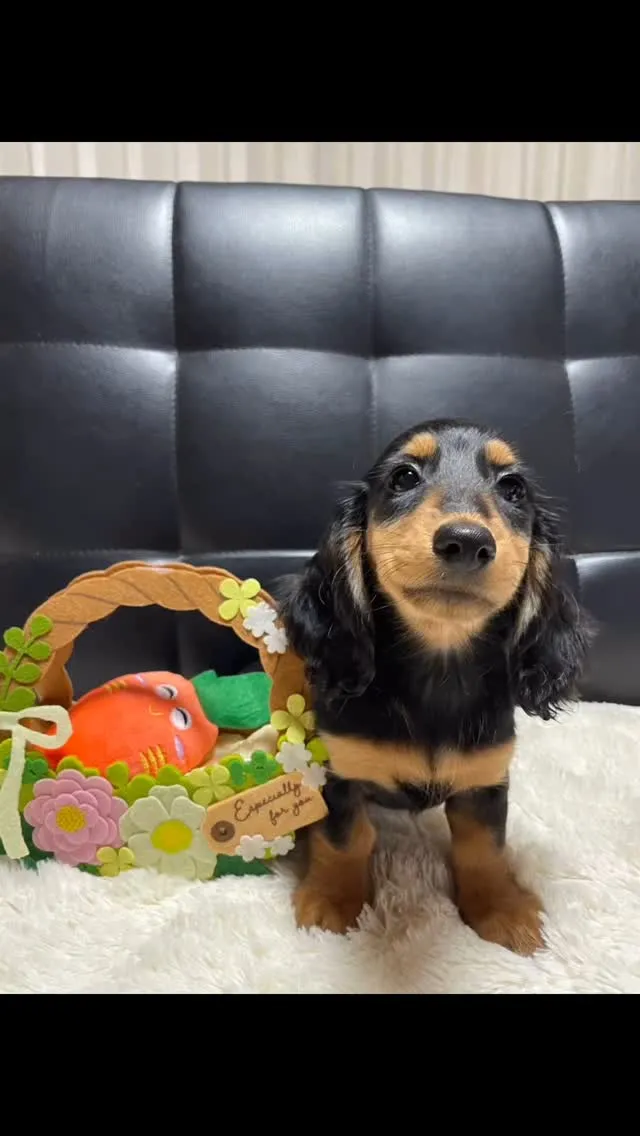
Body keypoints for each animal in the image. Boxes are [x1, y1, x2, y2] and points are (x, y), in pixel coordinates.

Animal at [279, 419, 591, 955]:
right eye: (403, 477)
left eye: (513, 488)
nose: (466, 541)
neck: (437, 677)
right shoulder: (338, 772)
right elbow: (345, 840)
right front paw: (333, 901)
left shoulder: (485, 781)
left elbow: (483, 848)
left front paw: (500, 908)